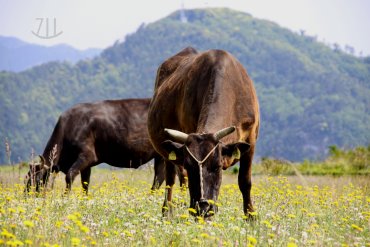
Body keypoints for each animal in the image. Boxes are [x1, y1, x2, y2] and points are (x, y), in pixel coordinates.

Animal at [24, 98, 184, 193]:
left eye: (37, 180)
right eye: (26, 179)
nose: (27, 198)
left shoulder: (87, 155)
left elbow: (69, 176)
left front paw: (65, 198)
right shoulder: (87, 165)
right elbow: (85, 184)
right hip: (160, 155)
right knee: (160, 178)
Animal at [146, 47, 258, 217]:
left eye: (217, 166)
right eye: (189, 165)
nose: (203, 206)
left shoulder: (251, 138)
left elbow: (245, 181)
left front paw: (250, 216)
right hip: (166, 152)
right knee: (170, 180)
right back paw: (167, 212)